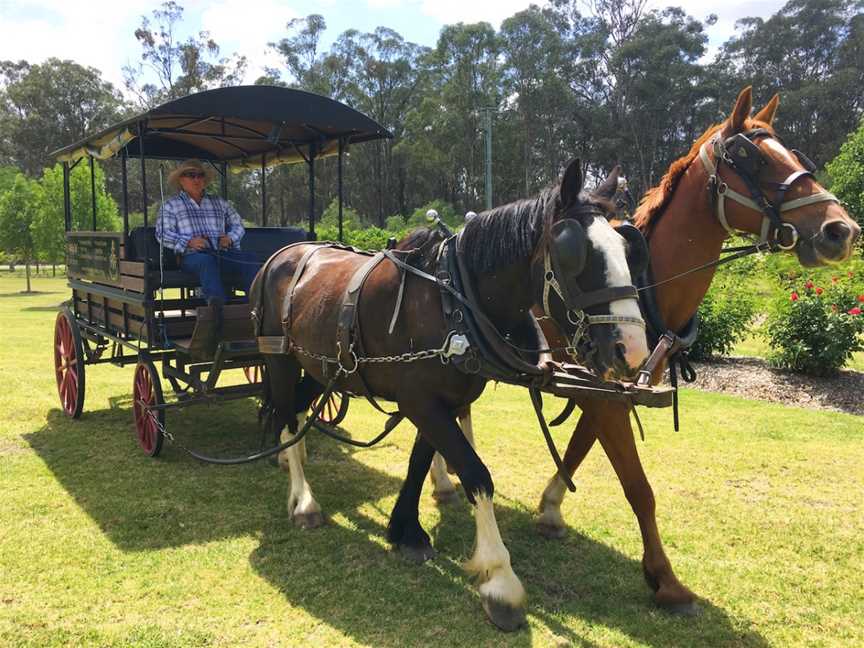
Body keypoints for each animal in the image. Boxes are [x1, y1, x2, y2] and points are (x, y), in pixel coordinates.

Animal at [253, 159, 652, 632]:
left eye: (628, 250)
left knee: (295, 409)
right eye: (574, 252)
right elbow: (476, 473)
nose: (632, 350)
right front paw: (500, 581)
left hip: (324, 368)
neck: (453, 300)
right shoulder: (420, 401)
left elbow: (420, 461)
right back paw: (304, 502)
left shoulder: (434, 401)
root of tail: (285, 253)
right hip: (279, 357)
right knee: (286, 413)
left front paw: (406, 530)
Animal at [528, 86, 860, 612]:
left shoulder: (604, 390)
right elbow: (638, 486)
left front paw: (551, 508)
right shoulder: (602, 394)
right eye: (751, 157)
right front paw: (665, 578)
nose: (840, 230)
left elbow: (580, 447)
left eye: (794, 154)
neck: (645, 286)